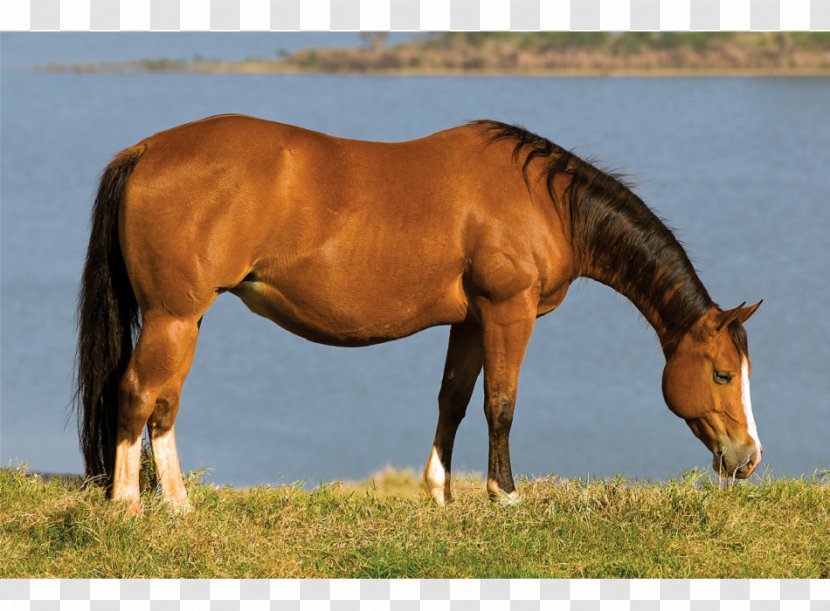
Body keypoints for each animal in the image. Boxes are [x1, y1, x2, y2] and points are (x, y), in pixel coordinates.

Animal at [75, 115, 764, 512]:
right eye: (723, 374)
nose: (748, 458)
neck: (541, 202)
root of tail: (146, 150)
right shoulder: (509, 312)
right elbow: (500, 404)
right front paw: (504, 497)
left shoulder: (471, 320)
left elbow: (453, 401)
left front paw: (440, 493)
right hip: (171, 315)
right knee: (136, 392)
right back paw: (129, 507)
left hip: (184, 320)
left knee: (164, 402)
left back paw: (179, 507)